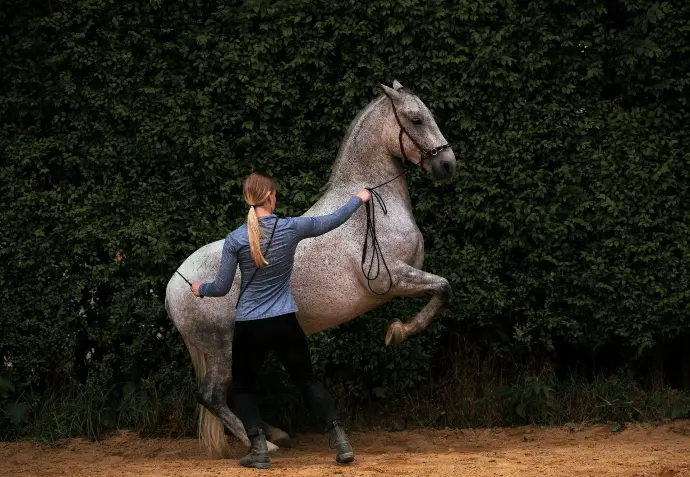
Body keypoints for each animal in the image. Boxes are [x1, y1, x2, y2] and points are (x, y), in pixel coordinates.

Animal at [165, 82, 456, 458]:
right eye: (416, 119)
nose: (447, 165)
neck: (370, 209)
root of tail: (174, 287)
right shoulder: (393, 278)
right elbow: (443, 288)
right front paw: (398, 332)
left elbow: (441, 290)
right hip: (221, 348)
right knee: (212, 397)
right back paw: (264, 445)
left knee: (230, 392)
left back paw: (275, 434)